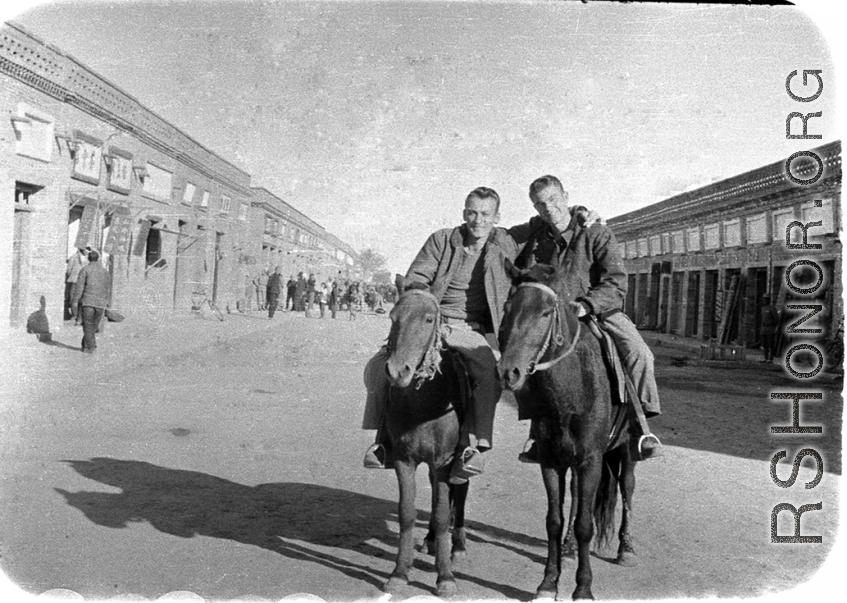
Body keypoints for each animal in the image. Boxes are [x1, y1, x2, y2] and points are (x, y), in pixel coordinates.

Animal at [496, 264, 636, 600]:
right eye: (507, 308)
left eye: (546, 312)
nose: (509, 372)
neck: (570, 392)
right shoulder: (550, 460)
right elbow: (554, 521)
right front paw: (548, 583)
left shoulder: (591, 461)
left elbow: (586, 523)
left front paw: (583, 587)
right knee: (574, 496)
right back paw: (570, 547)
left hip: (626, 448)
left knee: (627, 487)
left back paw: (626, 547)